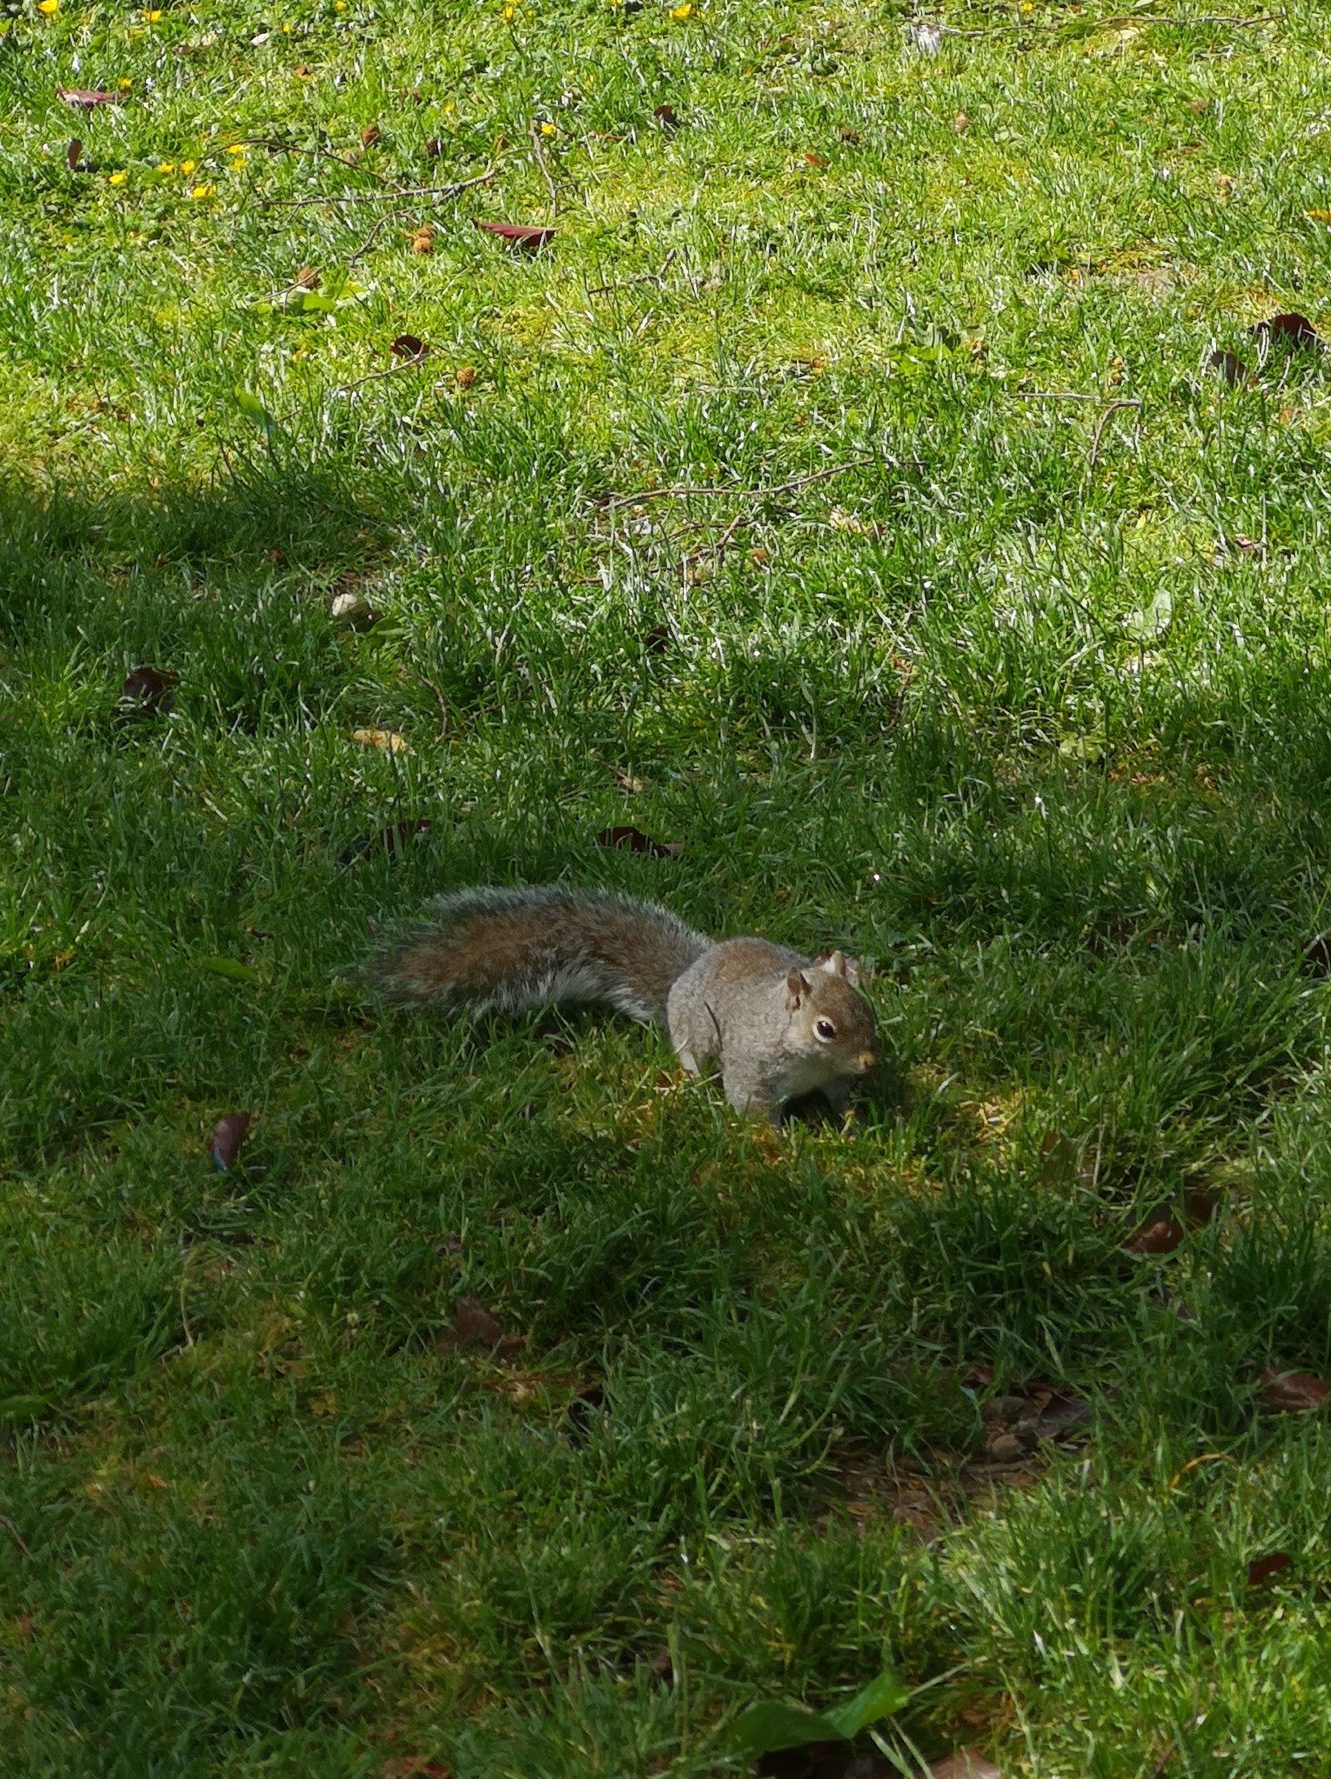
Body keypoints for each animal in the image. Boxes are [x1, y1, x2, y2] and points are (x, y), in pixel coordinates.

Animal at [368, 889, 879, 1124]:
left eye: (868, 1011)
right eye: (825, 1029)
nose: (870, 1063)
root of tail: (685, 976)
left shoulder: (831, 1077)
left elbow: (838, 1095)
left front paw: (852, 1119)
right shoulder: (752, 1066)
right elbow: (750, 1103)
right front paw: (779, 1141)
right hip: (695, 1033)